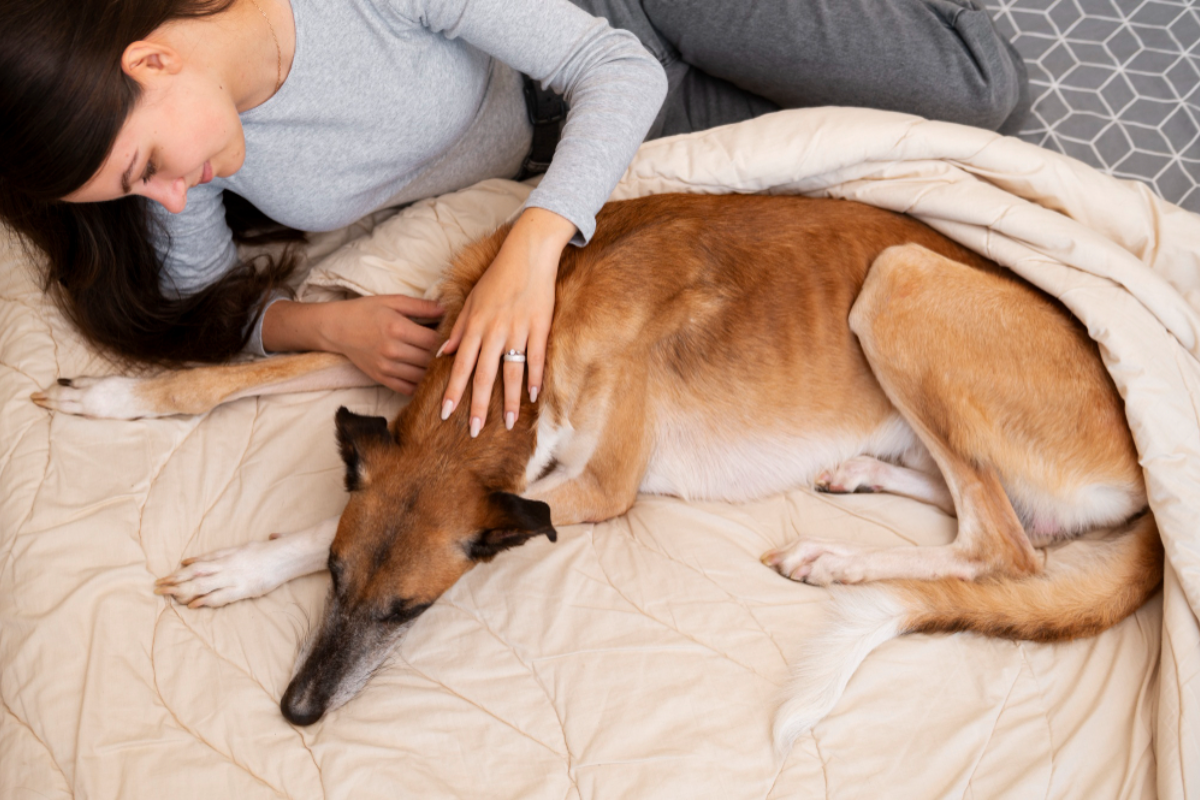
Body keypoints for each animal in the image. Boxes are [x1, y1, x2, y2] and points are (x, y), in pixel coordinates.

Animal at [35, 194, 1161, 743]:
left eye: (410, 611)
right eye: (337, 587)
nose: (298, 715)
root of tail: (1144, 461)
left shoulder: (589, 487)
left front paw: (239, 565)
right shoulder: (413, 351)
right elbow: (242, 376)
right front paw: (117, 399)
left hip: (902, 281)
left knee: (1007, 547)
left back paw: (838, 560)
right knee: (1001, 519)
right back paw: (857, 485)